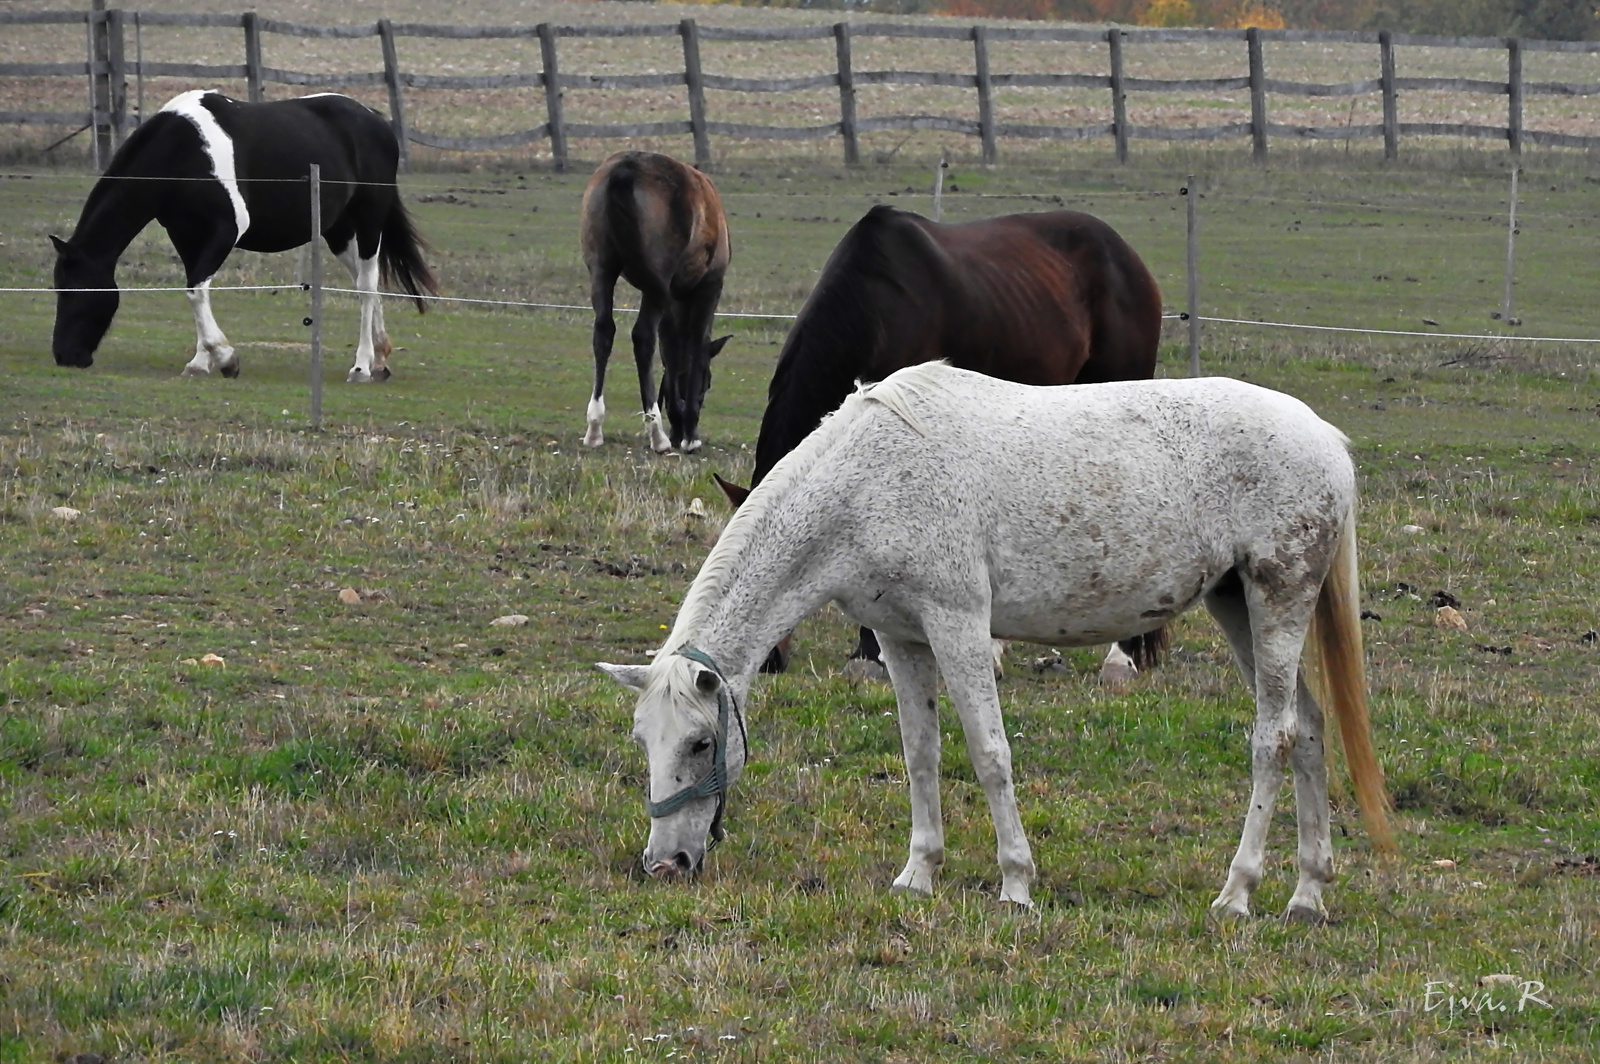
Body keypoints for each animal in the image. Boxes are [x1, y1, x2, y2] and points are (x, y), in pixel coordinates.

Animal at [50, 90, 438, 382]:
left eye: (75, 290)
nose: (65, 355)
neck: (182, 150)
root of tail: (377, 122)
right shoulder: (185, 236)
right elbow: (195, 291)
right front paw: (200, 362)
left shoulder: (225, 231)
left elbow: (195, 290)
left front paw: (225, 358)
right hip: (338, 230)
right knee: (362, 282)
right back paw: (380, 358)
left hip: (369, 220)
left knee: (368, 284)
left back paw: (361, 367)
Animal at [582, 150, 732, 451]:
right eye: (708, 382)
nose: (682, 430)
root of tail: (626, 170)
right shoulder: (709, 288)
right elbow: (694, 345)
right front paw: (689, 434)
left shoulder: (672, 299)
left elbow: (670, 352)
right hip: (656, 288)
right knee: (643, 337)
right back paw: (657, 433)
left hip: (602, 271)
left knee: (603, 332)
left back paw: (595, 427)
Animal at [601, 363, 1388, 915]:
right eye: (645, 743)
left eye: (701, 743)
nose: (664, 865)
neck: (866, 483)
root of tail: (1326, 439)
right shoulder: (901, 639)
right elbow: (920, 755)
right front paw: (918, 875)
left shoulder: (958, 624)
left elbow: (988, 753)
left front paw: (1016, 883)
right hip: (1237, 606)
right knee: (1308, 728)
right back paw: (1306, 894)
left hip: (1276, 599)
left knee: (1272, 738)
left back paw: (1238, 892)